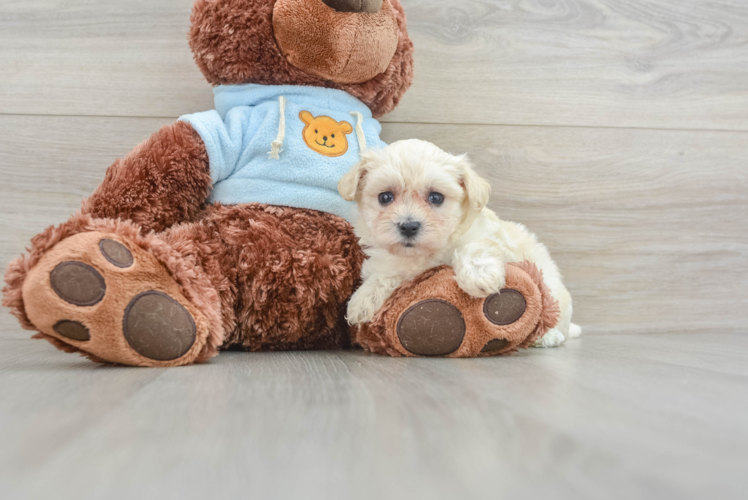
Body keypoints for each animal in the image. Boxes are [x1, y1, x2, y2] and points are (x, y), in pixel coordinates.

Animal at [338, 138, 580, 348]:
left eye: (436, 198)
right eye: (385, 197)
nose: (408, 226)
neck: (425, 254)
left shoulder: (491, 237)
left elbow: (473, 247)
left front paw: (479, 276)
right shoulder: (392, 261)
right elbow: (385, 274)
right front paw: (363, 300)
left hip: (551, 287)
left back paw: (548, 336)